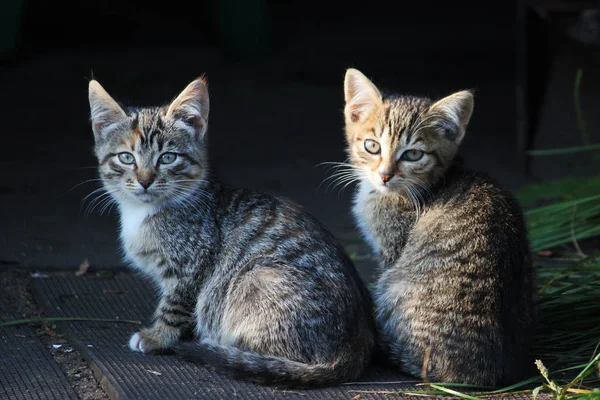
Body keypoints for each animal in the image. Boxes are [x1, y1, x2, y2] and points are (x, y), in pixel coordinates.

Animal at [88, 76, 376, 386]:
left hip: (256, 278)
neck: (145, 212)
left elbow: (175, 305)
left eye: (167, 158)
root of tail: (355, 348)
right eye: (126, 158)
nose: (145, 181)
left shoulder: (193, 265)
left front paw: (158, 337)